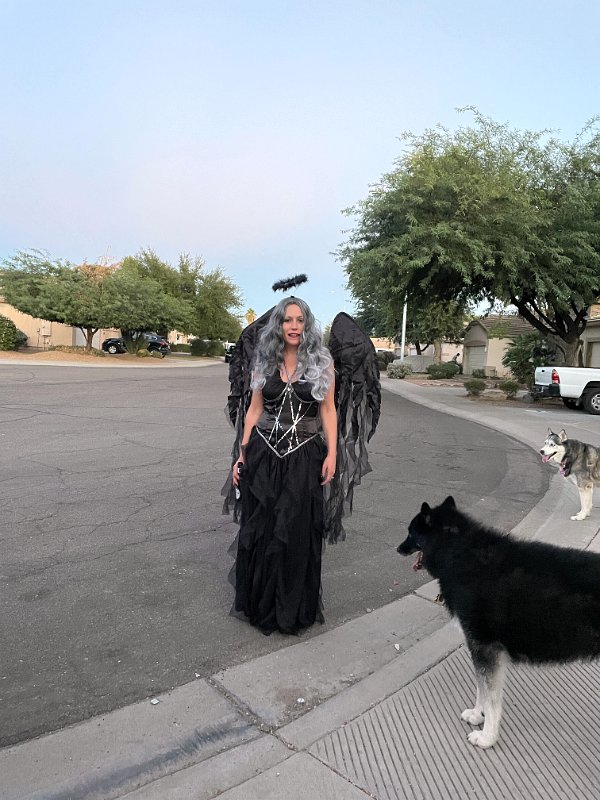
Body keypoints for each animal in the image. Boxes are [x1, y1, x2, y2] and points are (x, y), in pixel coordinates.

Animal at [397, 496, 600, 749]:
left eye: (410, 533)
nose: (398, 548)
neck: (460, 551)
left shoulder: (484, 647)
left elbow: (489, 695)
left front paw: (487, 736)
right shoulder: (487, 650)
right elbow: (482, 689)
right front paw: (477, 714)